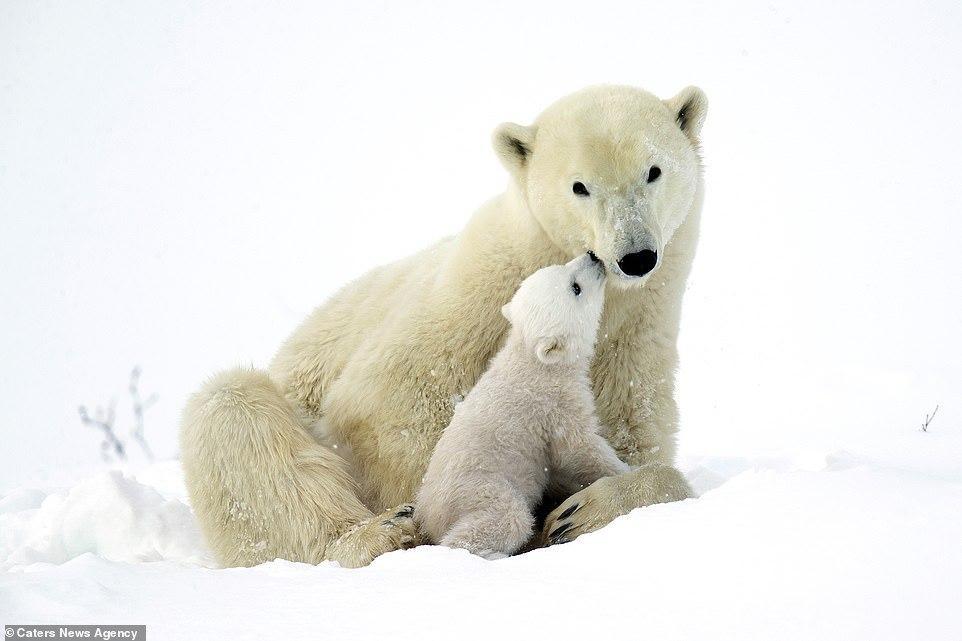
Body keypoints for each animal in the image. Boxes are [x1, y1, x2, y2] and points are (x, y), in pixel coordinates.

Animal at [414, 252, 632, 556]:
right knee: (508, 517)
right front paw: (626, 470)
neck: (530, 358)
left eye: (561, 266)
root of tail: (429, 514)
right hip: (477, 488)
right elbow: (579, 449)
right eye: (575, 288)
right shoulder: (555, 405)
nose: (592, 256)